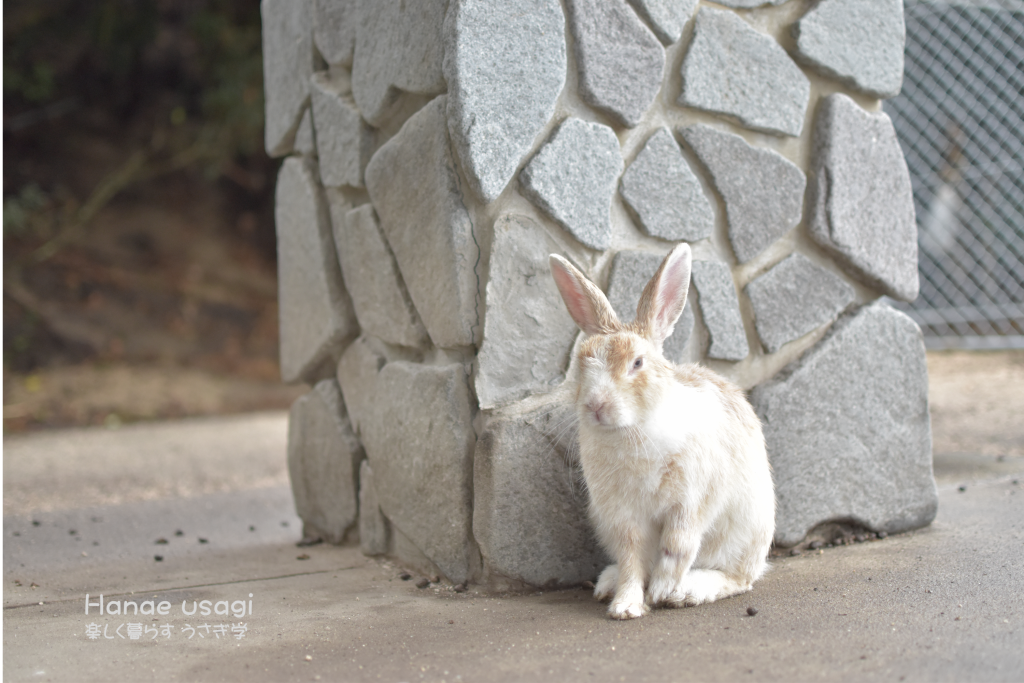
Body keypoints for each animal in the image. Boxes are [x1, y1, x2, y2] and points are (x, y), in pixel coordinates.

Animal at [548, 244, 770, 618]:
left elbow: (677, 546)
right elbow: (632, 558)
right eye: (582, 362)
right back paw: (607, 584)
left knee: (739, 578)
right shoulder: (622, 517)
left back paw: (689, 590)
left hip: (744, 533)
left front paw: (663, 590)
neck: (634, 428)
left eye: (637, 363)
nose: (595, 405)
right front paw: (626, 607)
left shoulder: (691, 502)